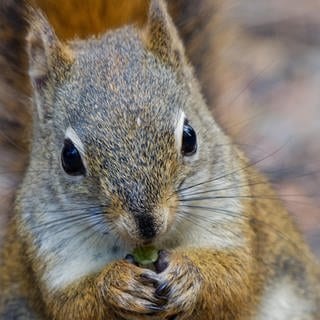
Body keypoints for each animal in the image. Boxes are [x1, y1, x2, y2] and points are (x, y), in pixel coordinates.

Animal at [0, 0, 318, 318]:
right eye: (69, 158)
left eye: (189, 137)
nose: (147, 225)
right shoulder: (49, 249)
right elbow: (70, 305)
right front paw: (116, 286)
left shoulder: (232, 215)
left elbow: (235, 278)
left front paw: (187, 275)